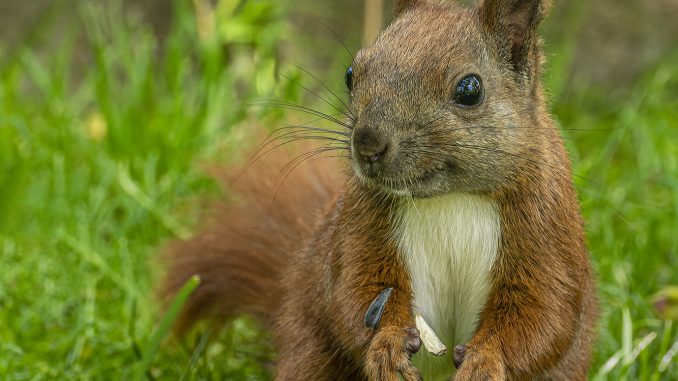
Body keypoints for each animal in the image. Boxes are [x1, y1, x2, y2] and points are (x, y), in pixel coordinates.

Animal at [163, 0, 600, 380]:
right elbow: (354, 288)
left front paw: (486, 361)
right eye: (350, 73)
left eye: (470, 89)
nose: (367, 143)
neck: (448, 199)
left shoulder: (545, 226)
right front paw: (385, 346)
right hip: (311, 348)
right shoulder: (361, 221)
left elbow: (542, 314)